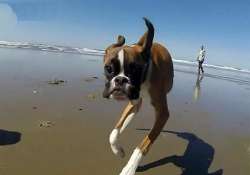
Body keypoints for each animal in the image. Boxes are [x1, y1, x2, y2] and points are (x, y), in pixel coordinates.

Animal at [102, 18, 173, 175]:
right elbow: (113, 133)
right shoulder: (131, 103)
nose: (120, 80)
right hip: (134, 103)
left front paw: (130, 168)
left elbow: (144, 143)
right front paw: (118, 151)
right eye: (108, 68)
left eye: (135, 70)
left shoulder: (163, 114)